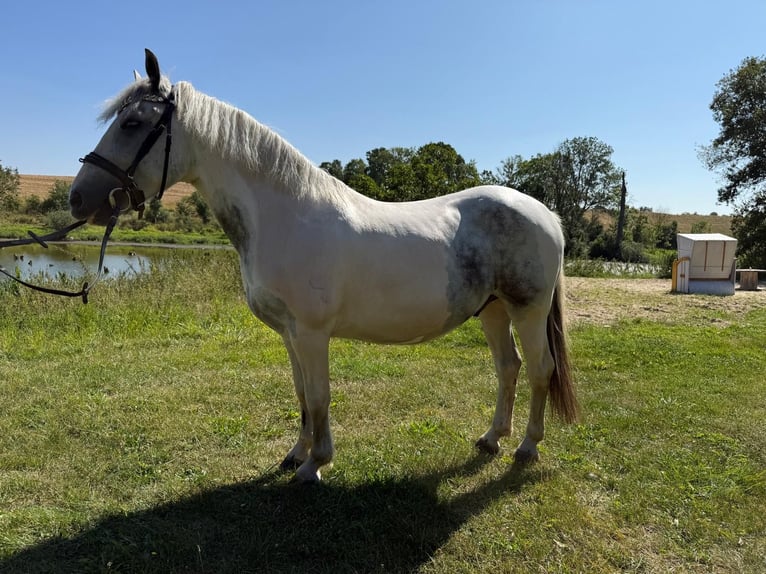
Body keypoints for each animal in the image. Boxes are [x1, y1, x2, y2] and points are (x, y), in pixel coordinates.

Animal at [69, 50, 578, 483]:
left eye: (133, 123)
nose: (78, 198)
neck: (284, 216)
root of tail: (546, 213)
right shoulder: (290, 333)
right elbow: (301, 395)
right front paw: (296, 453)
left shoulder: (312, 333)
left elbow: (319, 396)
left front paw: (316, 464)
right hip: (491, 310)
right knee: (508, 367)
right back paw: (492, 438)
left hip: (527, 310)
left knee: (539, 369)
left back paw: (527, 447)